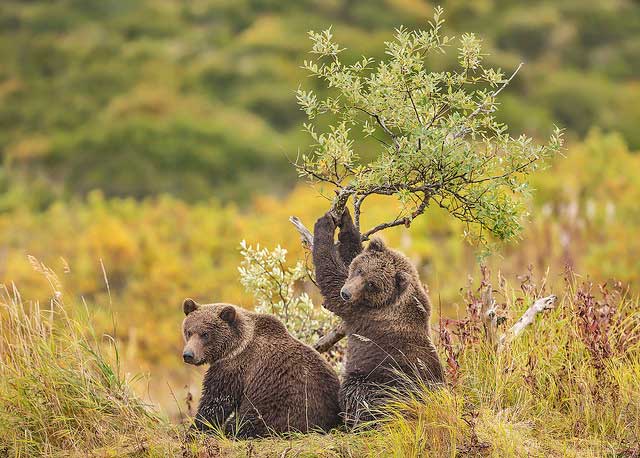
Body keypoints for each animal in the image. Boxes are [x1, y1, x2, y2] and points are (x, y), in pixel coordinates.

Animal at [182, 298, 342, 438]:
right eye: (189, 332)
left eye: (205, 334)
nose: (188, 354)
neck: (233, 348)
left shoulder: (233, 368)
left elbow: (215, 401)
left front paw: (195, 430)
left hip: (281, 406)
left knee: (248, 422)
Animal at [312, 210, 442, 426]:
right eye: (360, 270)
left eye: (372, 284)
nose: (346, 293)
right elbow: (350, 253)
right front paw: (346, 222)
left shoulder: (362, 311)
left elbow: (330, 276)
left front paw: (324, 226)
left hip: (379, 380)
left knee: (356, 393)